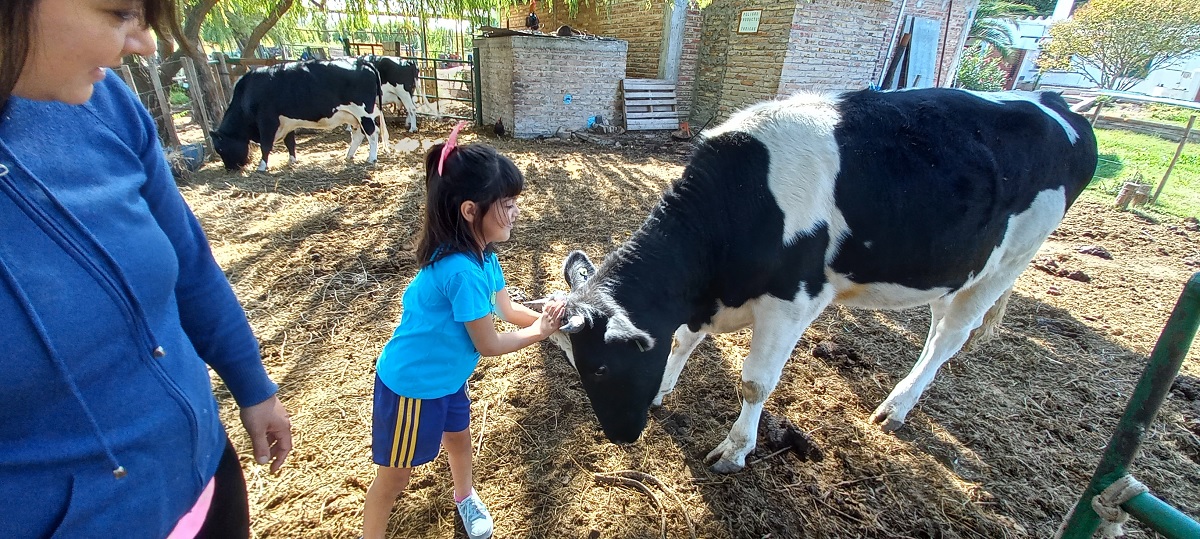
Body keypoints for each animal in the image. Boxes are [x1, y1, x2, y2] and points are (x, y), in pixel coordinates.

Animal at [211, 58, 389, 172]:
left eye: (220, 148)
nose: (230, 169)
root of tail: (361, 62)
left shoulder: (267, 120)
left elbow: (266, 145)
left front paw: (262, 166)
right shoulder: (287, 122)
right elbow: (290, 142)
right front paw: (291, 160)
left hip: (363, 112)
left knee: (373, 133)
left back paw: (371, 158)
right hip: (353, 116)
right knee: (359, 135)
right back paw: (349, 156)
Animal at [549, 88, 1098, 474]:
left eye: (600, 367)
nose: (620, 436)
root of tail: (1056, 102)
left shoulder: (791, 301)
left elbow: (754, 382)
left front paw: (735, 450)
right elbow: (682, 341)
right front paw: (663, 388)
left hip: (1007, 263)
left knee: (950, 338)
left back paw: (896, 408)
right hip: (959, 269)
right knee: (936, 333)